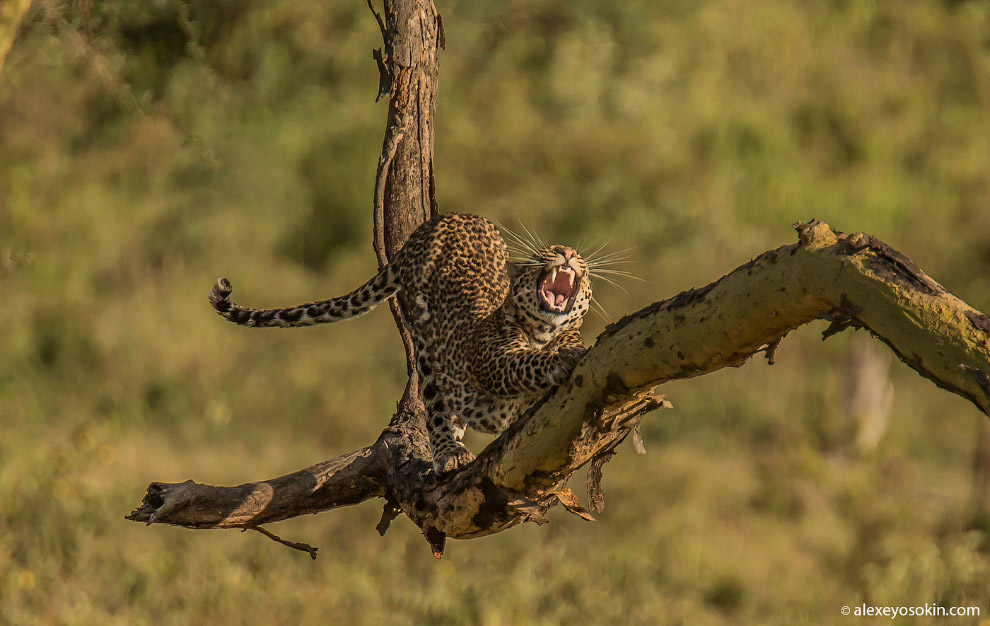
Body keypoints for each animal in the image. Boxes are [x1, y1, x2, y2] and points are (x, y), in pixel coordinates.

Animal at [209, 212, 592, 470]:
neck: (543, 331)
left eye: (582, 261)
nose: (568, 251)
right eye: (545, 253)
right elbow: (524, 363)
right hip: (424, 341)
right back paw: (448, 451)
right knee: (435, 402)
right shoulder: (493, 360)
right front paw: (564, 358)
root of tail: (442, 220)